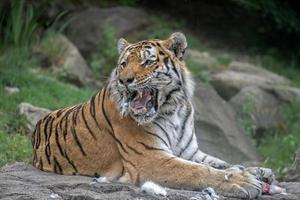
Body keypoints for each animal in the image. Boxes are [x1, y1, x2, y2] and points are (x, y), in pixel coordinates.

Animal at [31, 32, 274, 198]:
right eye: (123, 64)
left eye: (147, 61)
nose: (124, 80)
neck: (173, 109)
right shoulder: (150, 158)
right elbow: (199, 171)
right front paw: (243, 182)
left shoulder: (189, 151)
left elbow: (221, 162)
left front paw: (258, 171)